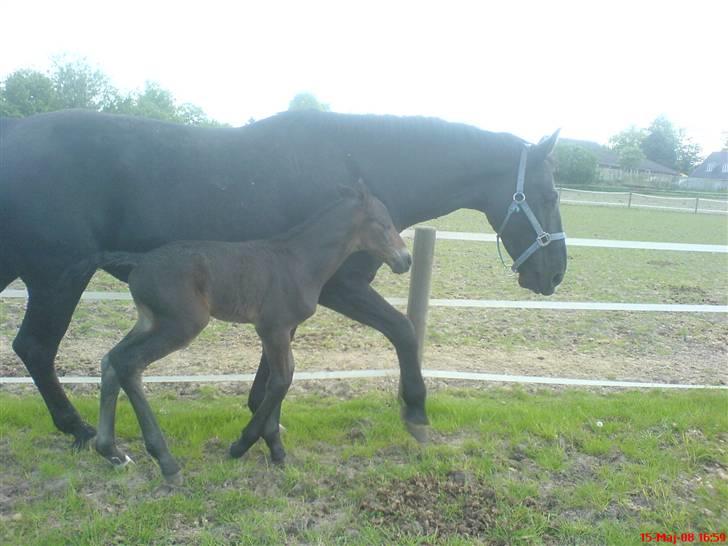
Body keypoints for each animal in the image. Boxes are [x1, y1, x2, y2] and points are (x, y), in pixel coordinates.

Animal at [0, 109, 564, 446]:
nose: (556, 272)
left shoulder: (286, 291)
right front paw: (416, 411)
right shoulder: (342, 288)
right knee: (35, 347)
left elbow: (275, 357)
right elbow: (403, 330)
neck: (355, 166)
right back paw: (77, 430)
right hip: (58, 275)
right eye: (550, 194)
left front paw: (261, 419)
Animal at [86, 181, 410, 482]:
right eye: (383, 223)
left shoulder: (281, 329)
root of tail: (139, 261)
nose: (405, 260)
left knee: (111, 359)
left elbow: (282, 377)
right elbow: (280, 380)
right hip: (181, 325)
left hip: (149, 321)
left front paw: (276, 449)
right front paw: (242, 445)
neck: (299, 261)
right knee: (129, 364)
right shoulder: (273, 327)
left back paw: (111, 452)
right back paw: (166, 461)